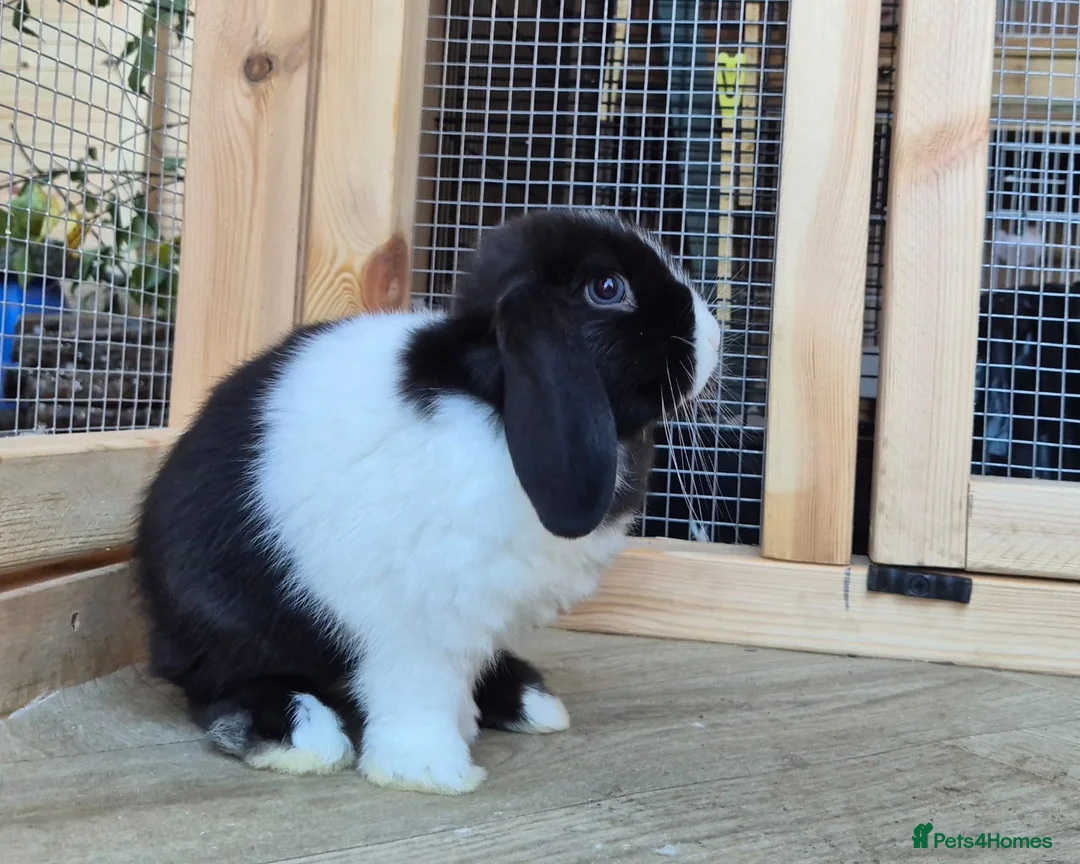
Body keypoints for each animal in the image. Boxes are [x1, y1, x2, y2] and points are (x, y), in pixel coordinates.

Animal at [134, 208, 723, 795]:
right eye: (607, 288)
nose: (715, 336)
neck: (491, 404)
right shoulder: (412, 627)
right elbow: (418, 695)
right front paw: (430, 772)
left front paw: (462, 729)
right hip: (225, 618)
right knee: (217, 684)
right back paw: (303, 735)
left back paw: (528, 701)